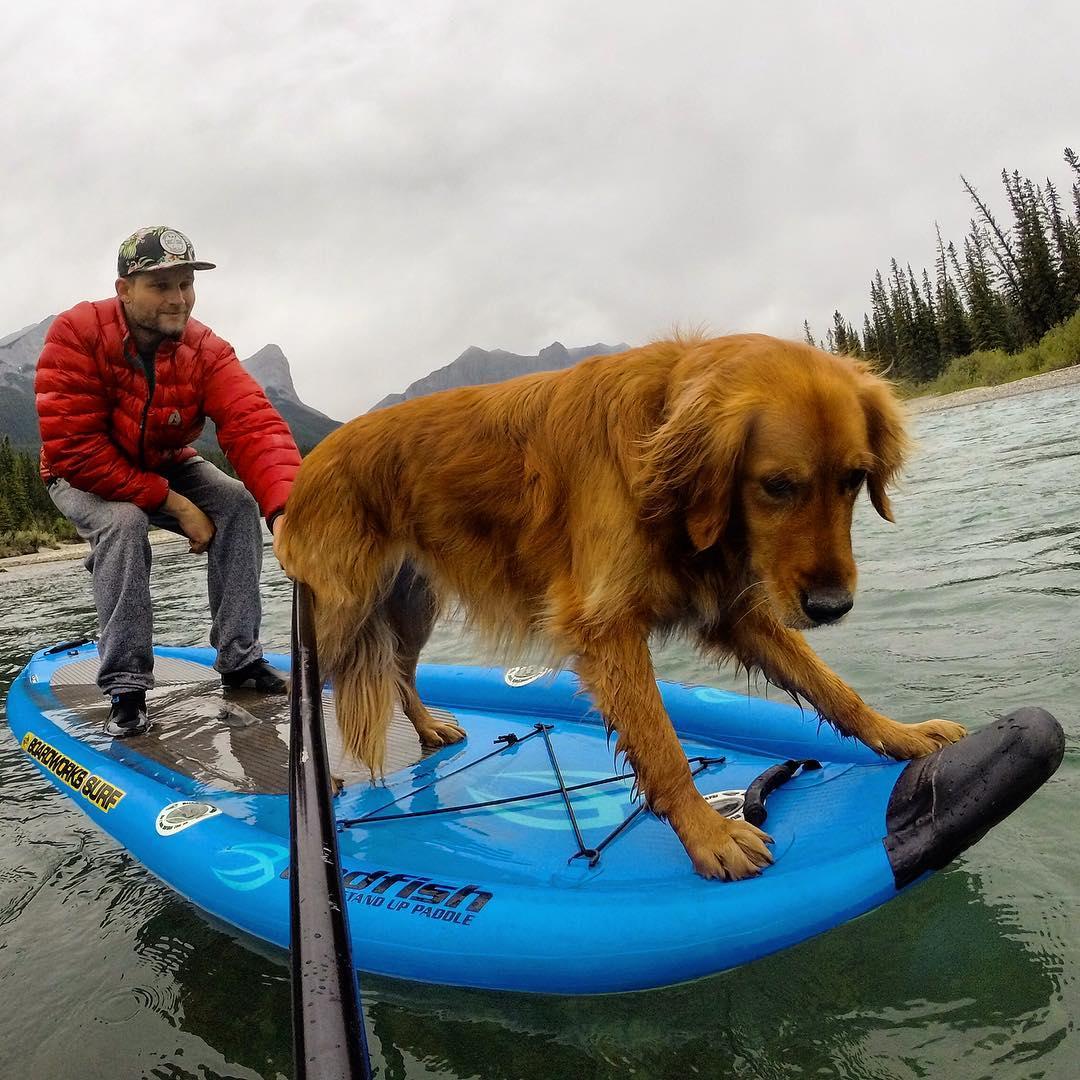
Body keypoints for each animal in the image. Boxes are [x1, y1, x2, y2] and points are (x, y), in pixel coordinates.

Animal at [276, 334, 963, 876]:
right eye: (777, 485)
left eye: (853, 479)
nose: (832, 606)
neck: (654, 455)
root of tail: (311, 465)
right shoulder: (605, 626)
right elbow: (660, 744)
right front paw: (709, 835)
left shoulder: (737, 613)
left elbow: (831, 688)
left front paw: (901, 736)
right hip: (338, 616)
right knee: (303, 692)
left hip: (413, 605)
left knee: (399, 670)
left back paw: (428, 729)